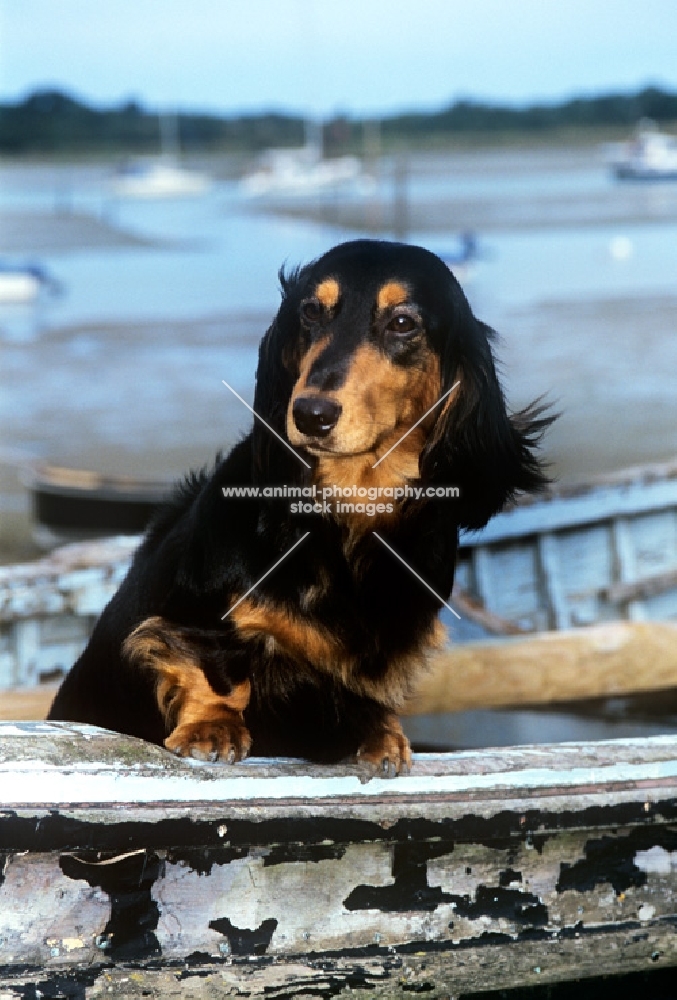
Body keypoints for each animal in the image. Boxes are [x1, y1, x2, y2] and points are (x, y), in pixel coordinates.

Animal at [50, 240, 552, 772]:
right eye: (311, 311)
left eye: (402, 322)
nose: (311, 414)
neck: (347, 508)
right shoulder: (197, 614)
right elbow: (213, 664)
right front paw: (214, 725)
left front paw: (380, 734)